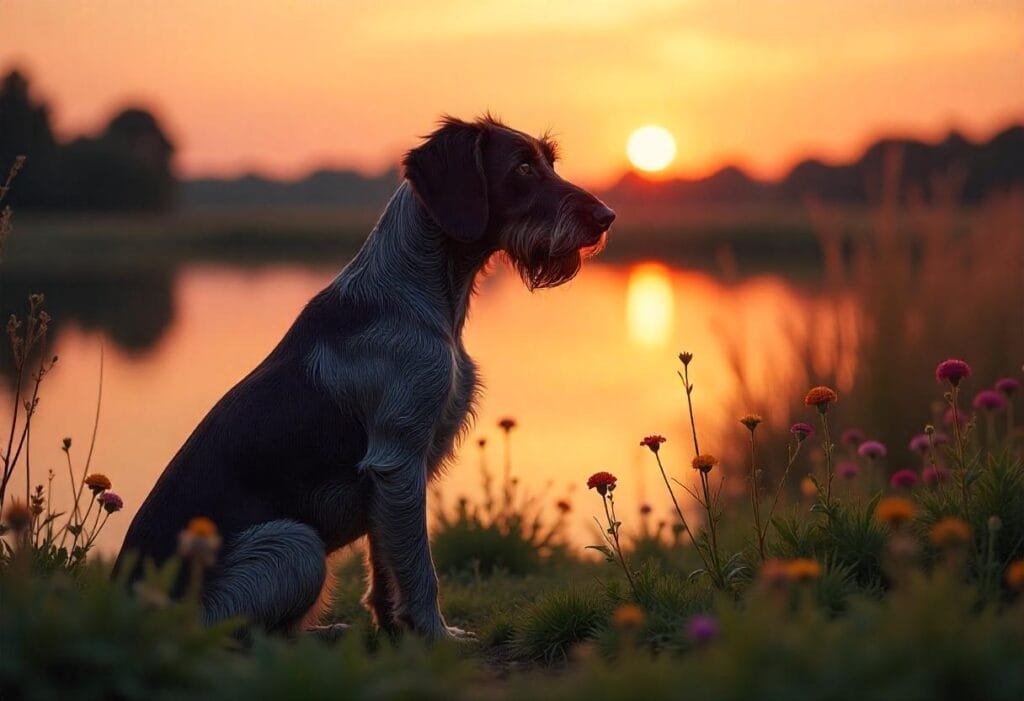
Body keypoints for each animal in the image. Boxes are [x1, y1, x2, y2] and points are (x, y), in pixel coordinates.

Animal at [117, 114, 614, 638]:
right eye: (521, 168)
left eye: (549, 162)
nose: (607, 216)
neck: (412, 292)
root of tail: (124, 600)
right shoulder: (398, 460)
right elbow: (419, 569)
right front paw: (436, 636)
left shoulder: (389, 480)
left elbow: (384, 568)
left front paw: (395, 632)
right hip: (293, 544)